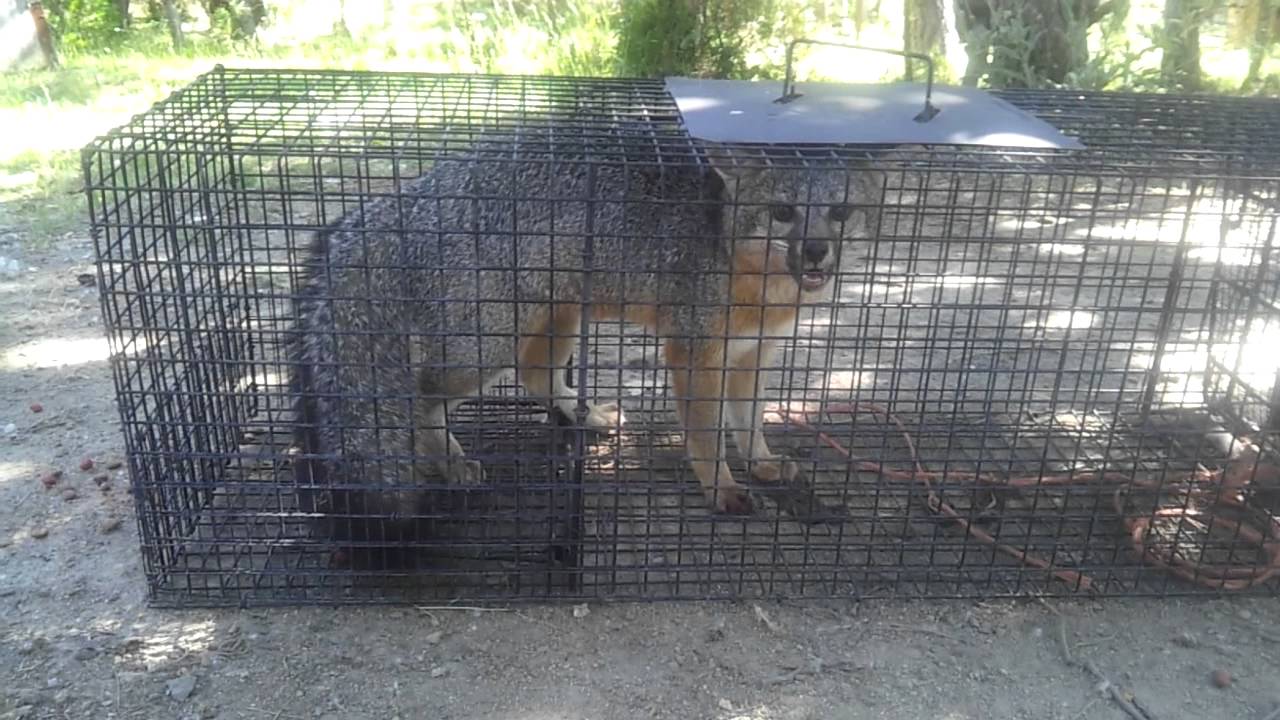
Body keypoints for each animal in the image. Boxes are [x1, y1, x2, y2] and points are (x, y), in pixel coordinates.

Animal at [289, 126, 884, 546]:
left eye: (839, 213)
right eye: (782, 212)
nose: (816, 252)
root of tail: (406, 195)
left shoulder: (751, 357)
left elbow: (748, 424)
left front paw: (760, 463)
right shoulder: (693, 355)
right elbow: (707, 437)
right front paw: (723, 489)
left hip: (558, 319)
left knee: (535, 377)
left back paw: (585, 414)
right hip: (484, 346)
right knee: (422, 396)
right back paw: (452, 461)